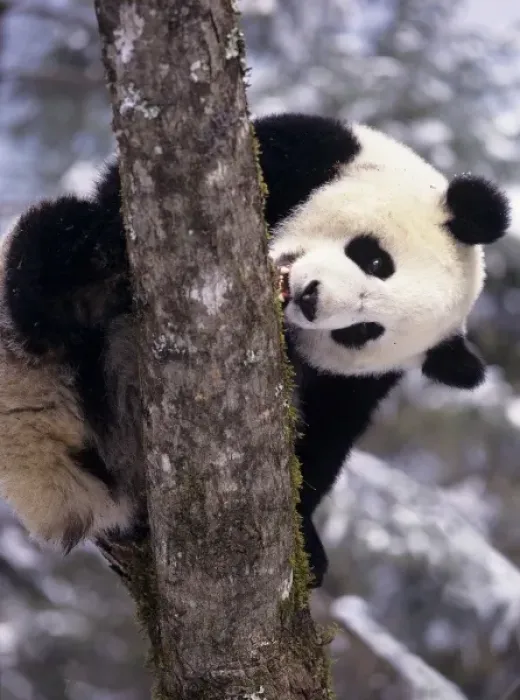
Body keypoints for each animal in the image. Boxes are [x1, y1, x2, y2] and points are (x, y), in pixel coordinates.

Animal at [0, 113, 510, 587]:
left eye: (362, 330)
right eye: (375, 259)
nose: (310, 298)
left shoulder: (359, 380)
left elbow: (326, 431)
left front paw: (309, 543)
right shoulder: (300, 151)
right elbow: (122, 195)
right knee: (54, 247)